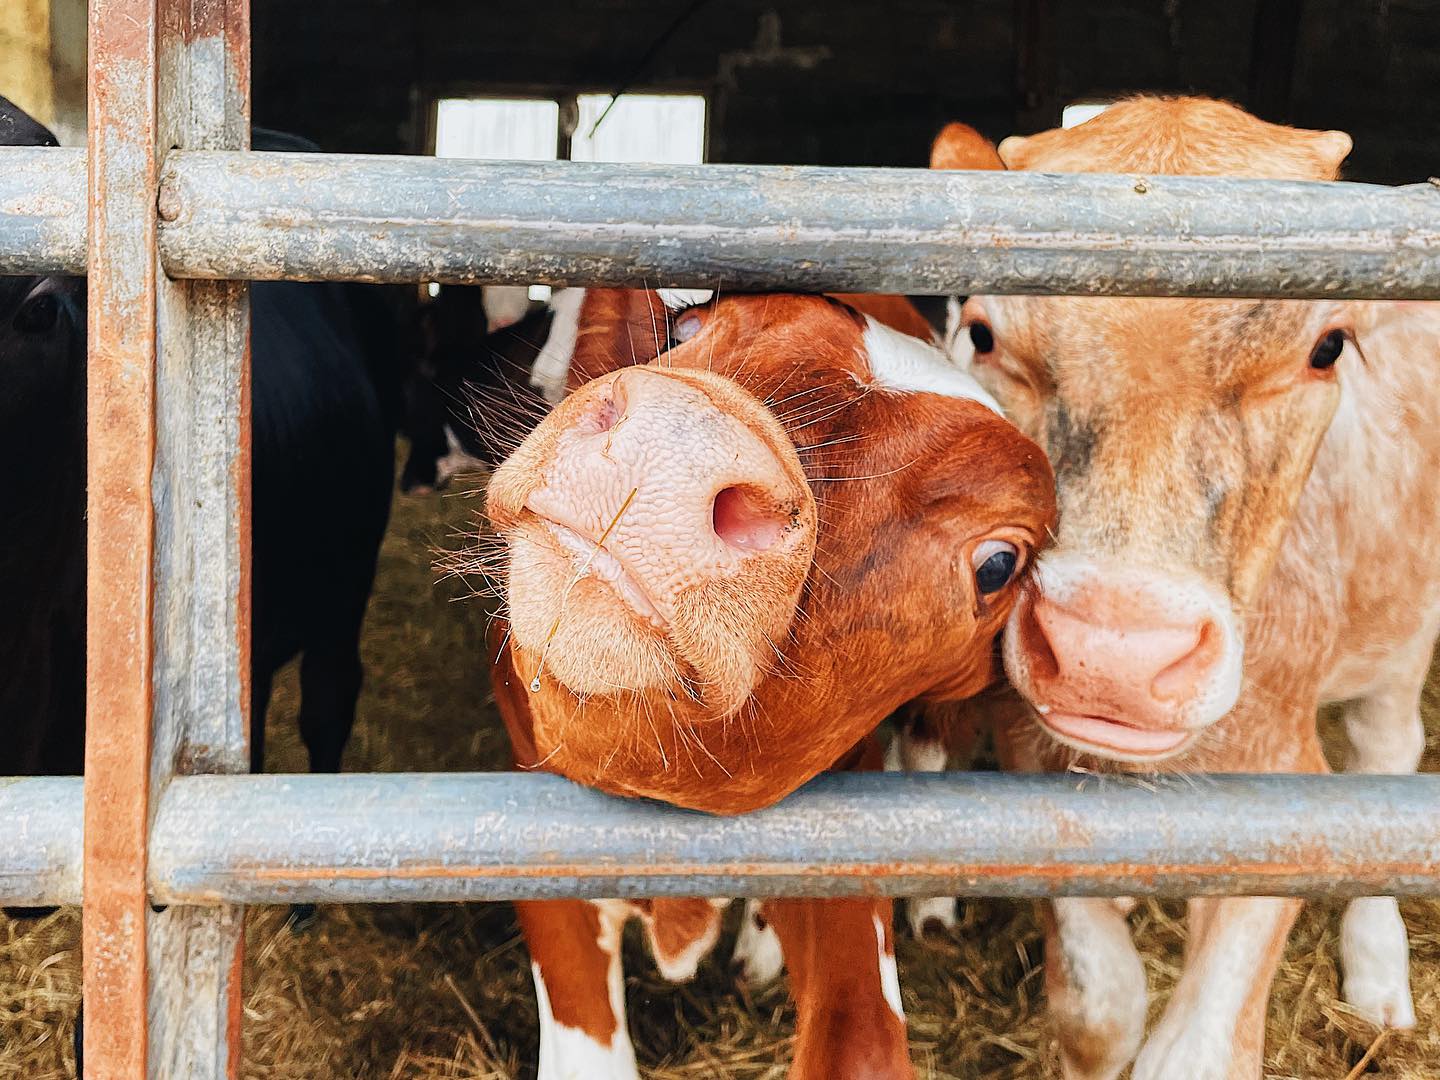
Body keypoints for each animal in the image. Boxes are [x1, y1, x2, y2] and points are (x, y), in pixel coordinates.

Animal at [933, 97, 1440, 1077]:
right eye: (982, 333)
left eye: (1327, 346)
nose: (1115, 654)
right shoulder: (1030, 761)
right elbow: (1097, 1005)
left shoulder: (1283, 786)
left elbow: (1199, 1048)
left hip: (1404, 636)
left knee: (1390, 754)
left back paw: (1377, 967)